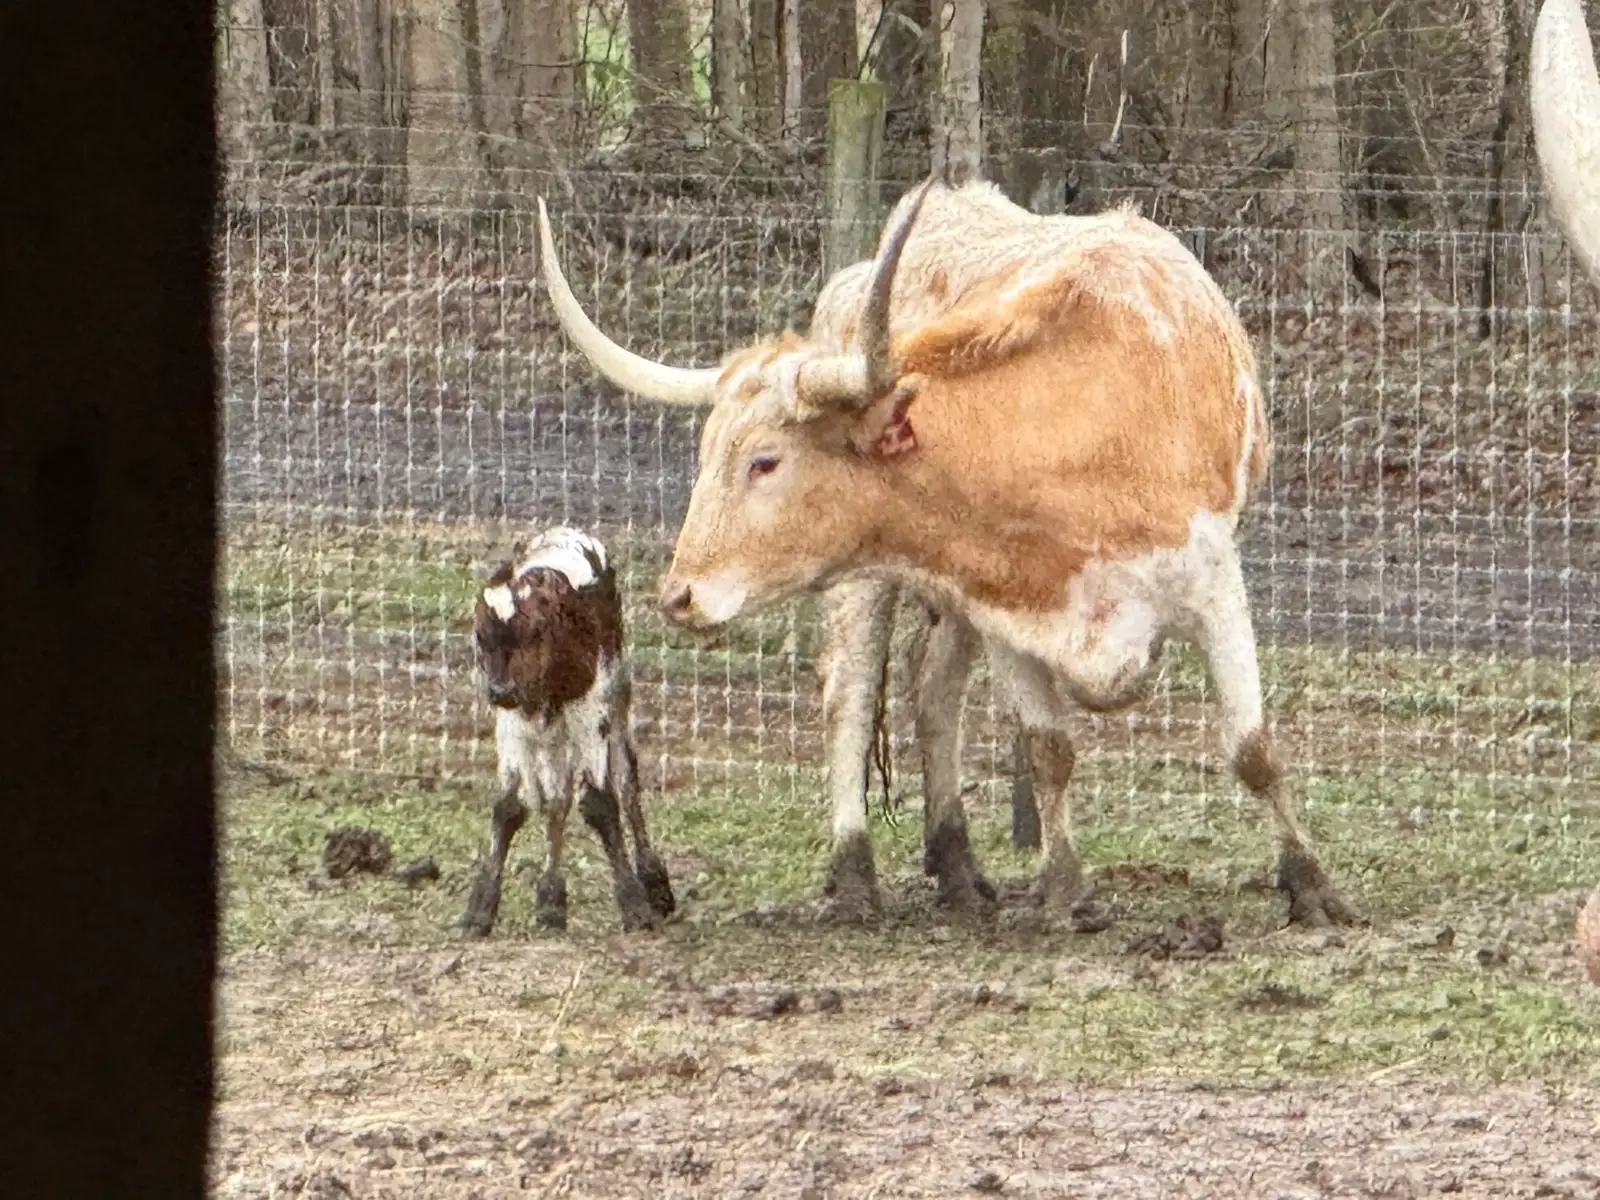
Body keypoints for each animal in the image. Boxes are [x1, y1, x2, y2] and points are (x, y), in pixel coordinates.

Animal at [536, 177, 1355, 927]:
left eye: (765, 461)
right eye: (709, 451)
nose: (679, 595)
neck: (1078, 428)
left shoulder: (1214, 587)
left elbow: (1252, 748)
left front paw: (1313, 887)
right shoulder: (1011, 616)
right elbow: (1049, 749)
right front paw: (1064, 891)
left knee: (931, 687)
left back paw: (956, 865)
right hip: (873, 580)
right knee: (853, 696)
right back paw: (856, 876)